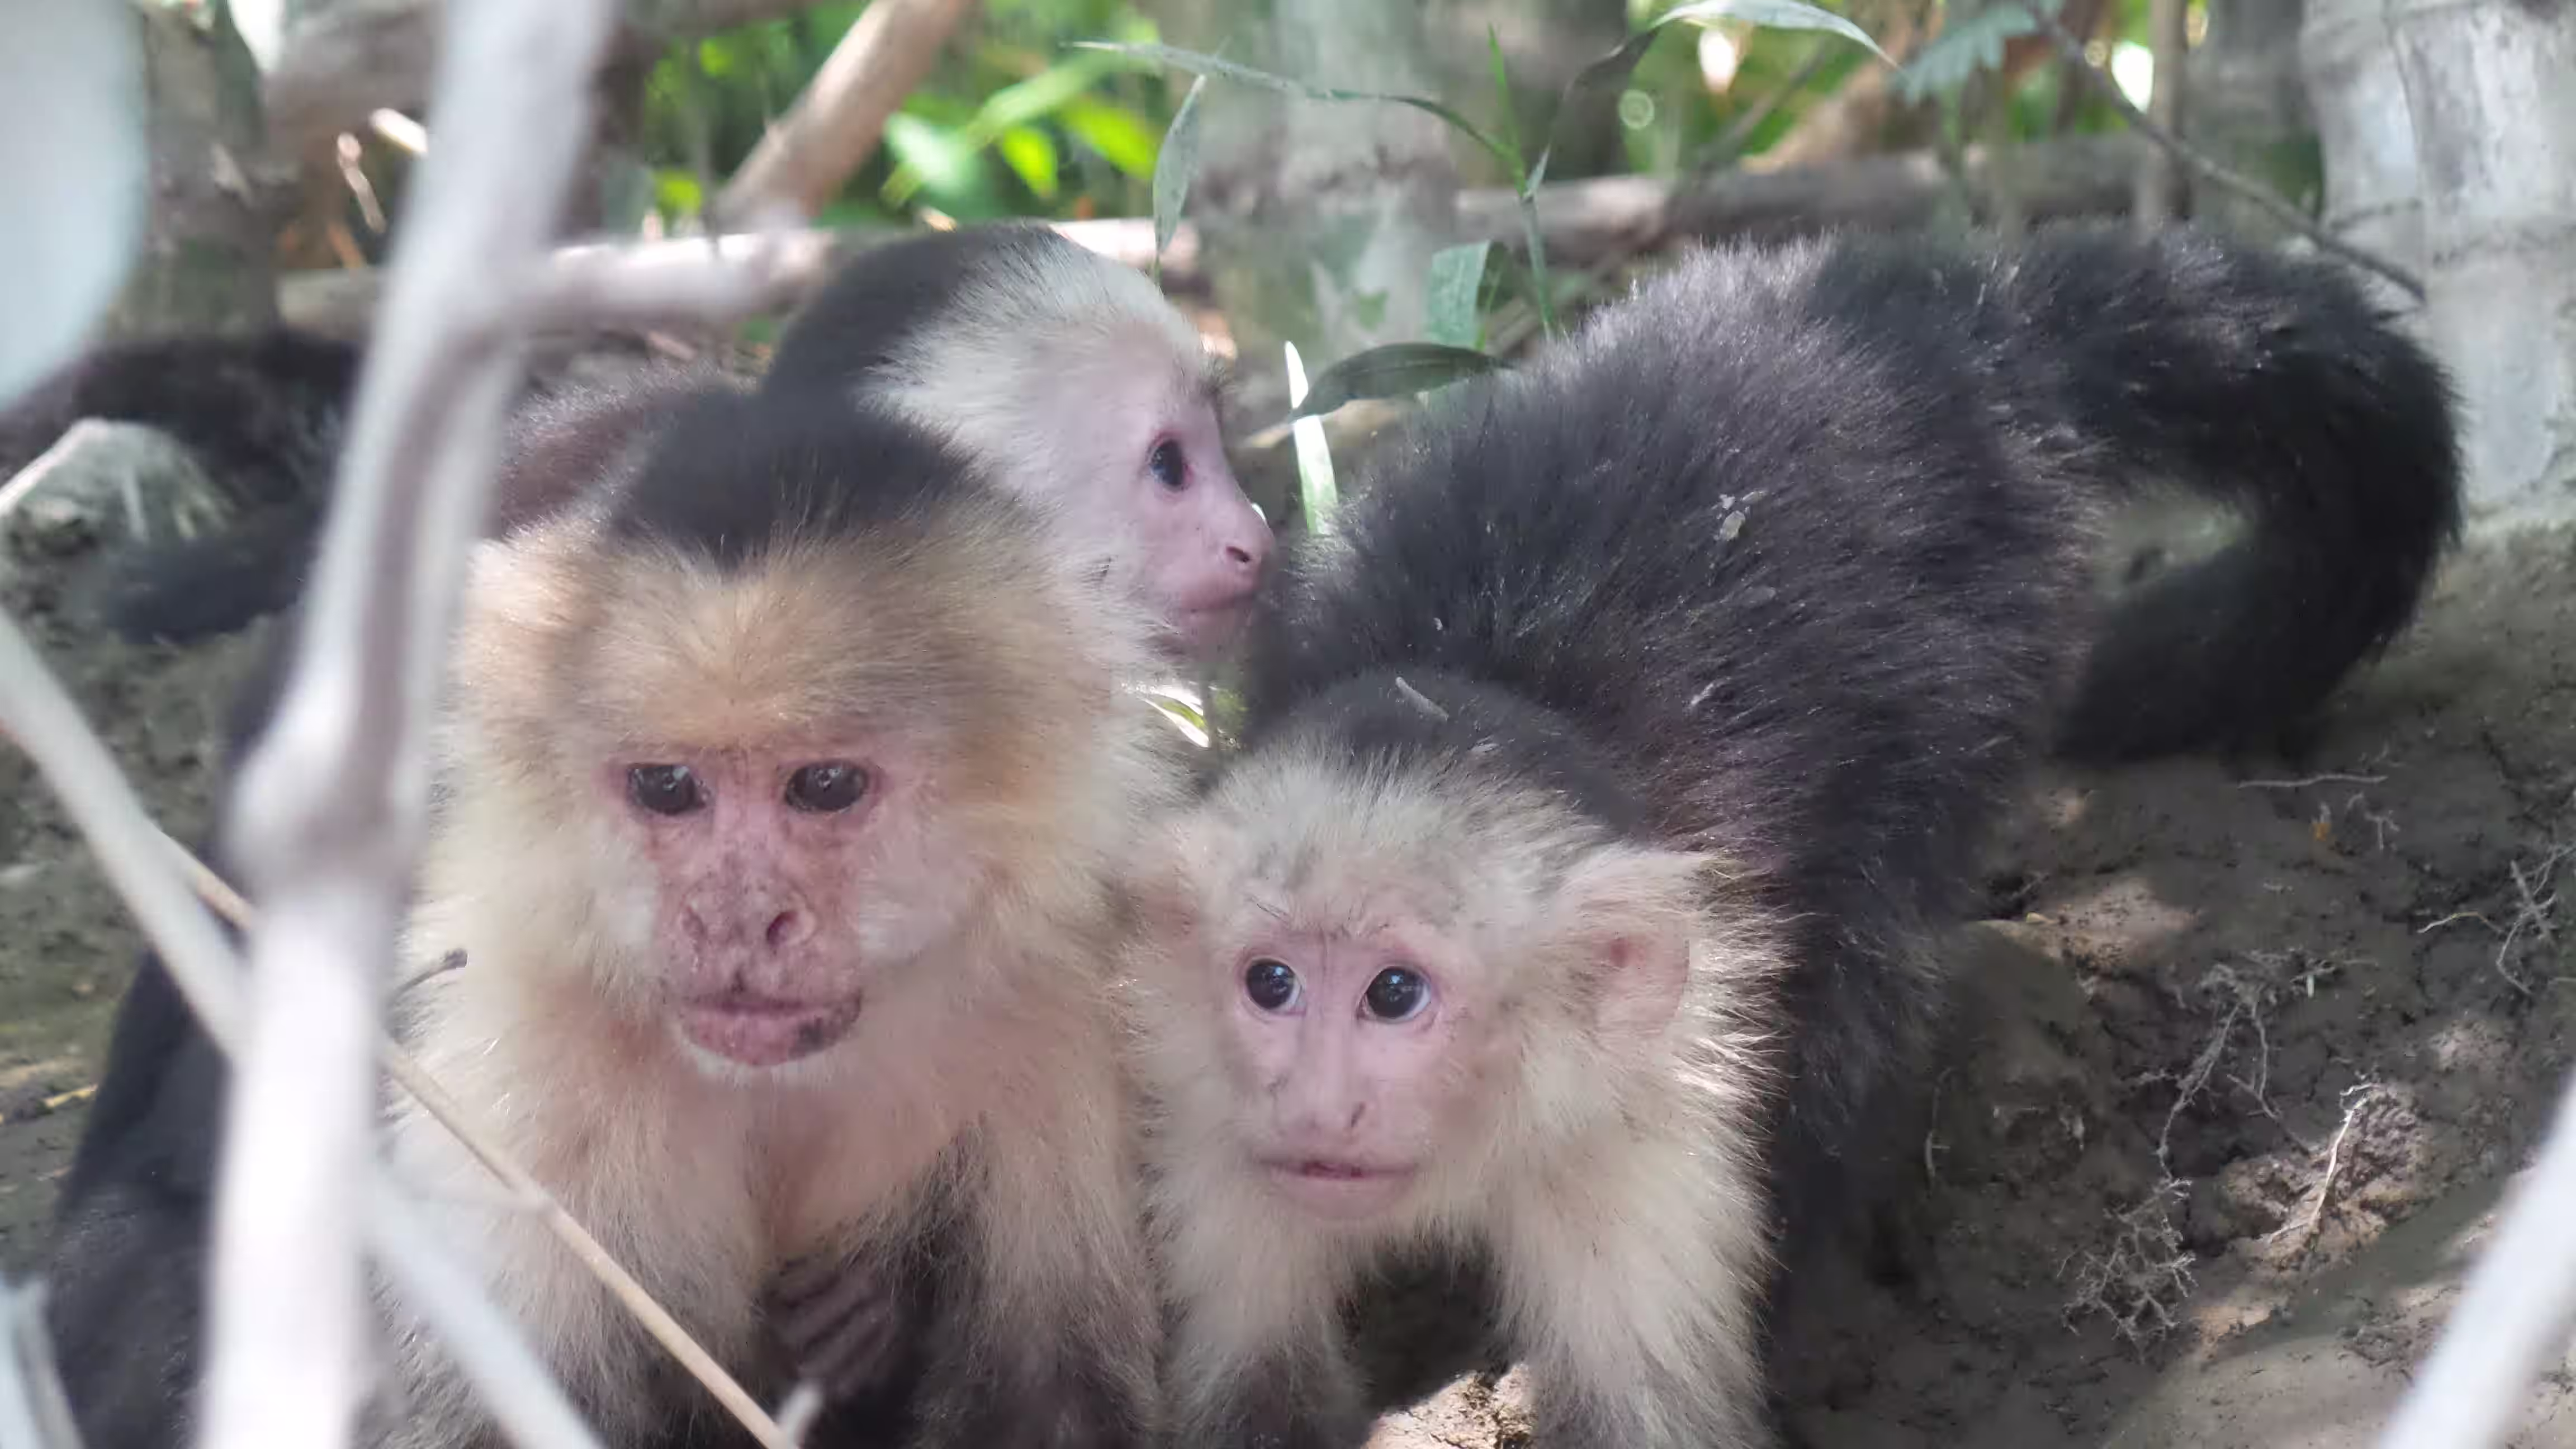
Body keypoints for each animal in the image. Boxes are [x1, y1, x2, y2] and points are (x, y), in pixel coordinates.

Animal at [42, 377, 1185, 1449]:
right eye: (666, 787)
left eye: (824, 786)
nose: (735, 920)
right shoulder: (507, 1019)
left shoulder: (1061, 984)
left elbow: (1052, 1393)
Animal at [1115, 221, 2462, 1448]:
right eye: (1270, 983)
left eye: (1396, 994)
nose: (1310, 1101)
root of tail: (1957, 324)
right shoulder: (1207, 1119)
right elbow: (1248, 1392)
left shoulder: (1646, 1134)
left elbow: (1653, 1412)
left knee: (1861, 962)